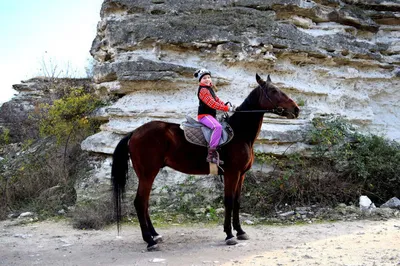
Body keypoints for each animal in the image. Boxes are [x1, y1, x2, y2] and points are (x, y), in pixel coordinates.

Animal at [111, 73, 298, 251]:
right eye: (273, 91)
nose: (296, 110)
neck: (239, 134)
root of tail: (134, 133)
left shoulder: (241, 175)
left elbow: (237, 202)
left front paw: (240, 231)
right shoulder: (232, 174)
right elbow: (229, 201)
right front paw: (229, 235)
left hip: (148, 175)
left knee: (145, 203)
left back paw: (155, 235)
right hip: (147, 174)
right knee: (140, 202)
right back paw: (149, 241)